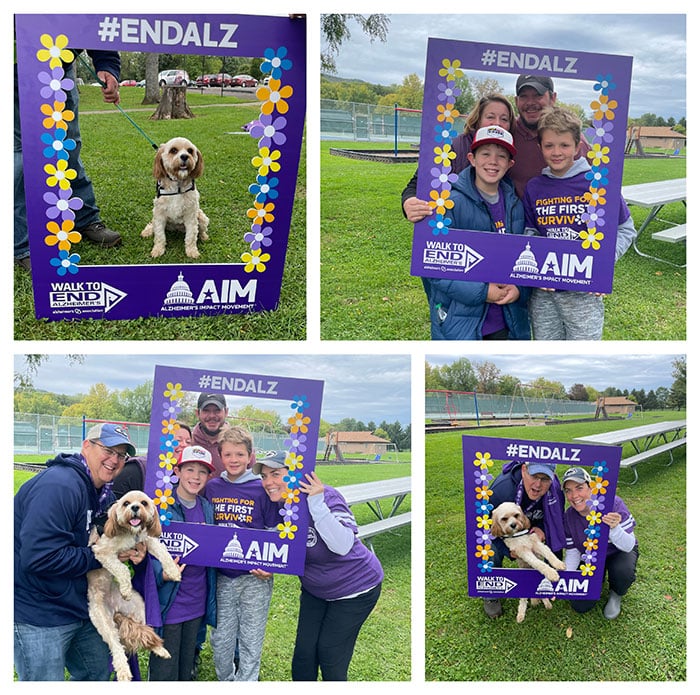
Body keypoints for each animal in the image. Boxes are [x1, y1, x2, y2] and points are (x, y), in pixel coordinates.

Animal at [87, 490, 182, 680]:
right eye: (126, 503)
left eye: (144, 503)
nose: (135, 507)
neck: (130, 532)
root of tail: (114, 609)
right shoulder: (102, 552)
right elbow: (122, 568)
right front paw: (126, 589)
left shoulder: (147, 540)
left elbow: (164, 552)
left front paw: (173, 571)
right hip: (103, 621)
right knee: (116, 646)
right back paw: (124, 672)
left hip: (140, 608)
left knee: (146, 630)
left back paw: (160, 649)